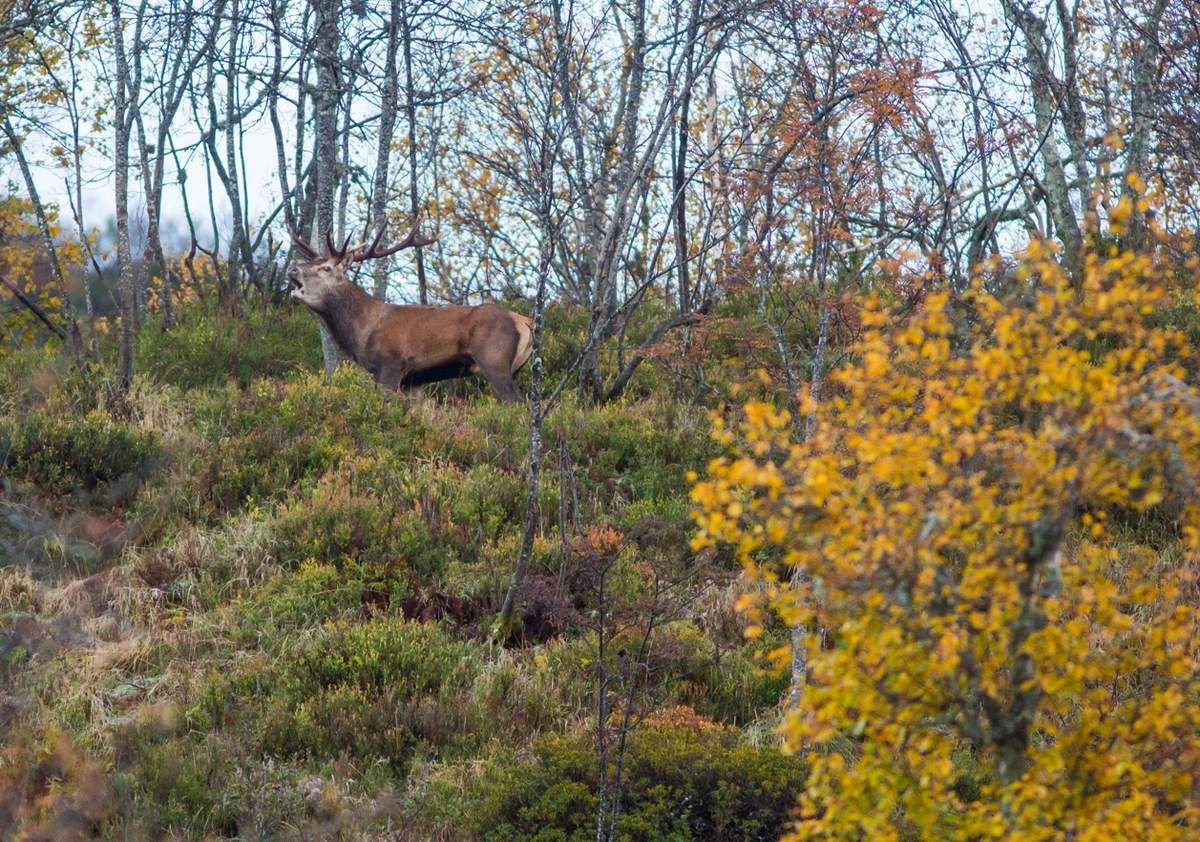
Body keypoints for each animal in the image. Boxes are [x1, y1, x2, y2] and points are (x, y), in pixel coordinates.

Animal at [286, 218, 533, 402]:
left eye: (326, 268)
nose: (292, 267)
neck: (363, 332)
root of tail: (525, 322)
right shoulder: (412, 382)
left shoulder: (390, 367)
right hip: (514, 368)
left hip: (494, 361)